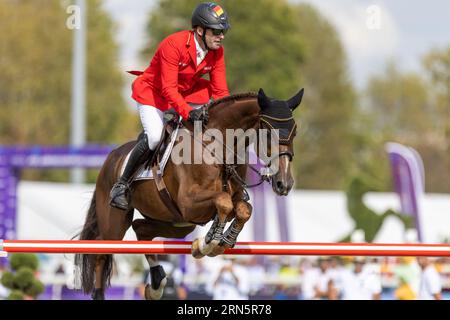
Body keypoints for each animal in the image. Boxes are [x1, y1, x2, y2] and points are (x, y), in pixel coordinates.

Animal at [75, 86, 304, 298]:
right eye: (268, 132)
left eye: (295, 132)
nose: (284, 183)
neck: (217, 148)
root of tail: (112, 157)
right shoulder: (189, 204)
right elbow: (223, 202)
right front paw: (210, 241)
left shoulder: (226, 200)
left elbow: (243, 209)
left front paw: (220, 240)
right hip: (114, 223)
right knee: (101, 255)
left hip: (177, 223)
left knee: (141, 228)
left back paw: (156, 283)